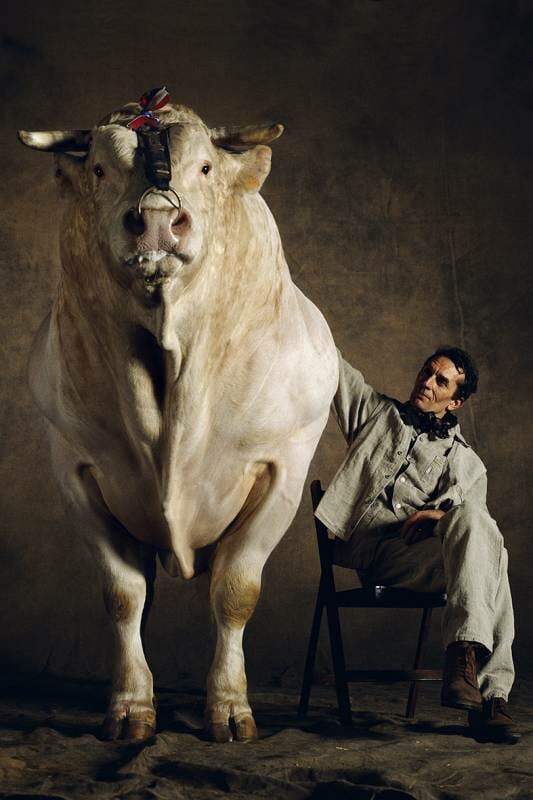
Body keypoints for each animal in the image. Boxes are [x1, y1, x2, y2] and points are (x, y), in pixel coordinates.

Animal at [19, 98, 336, 744]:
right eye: (98, 170)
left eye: (206, 168)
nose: (158, 222)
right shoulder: (74, 469)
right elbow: (123, 595)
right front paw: (131, 707)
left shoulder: (283, 469)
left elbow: (236, 591)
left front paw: (230, 707)